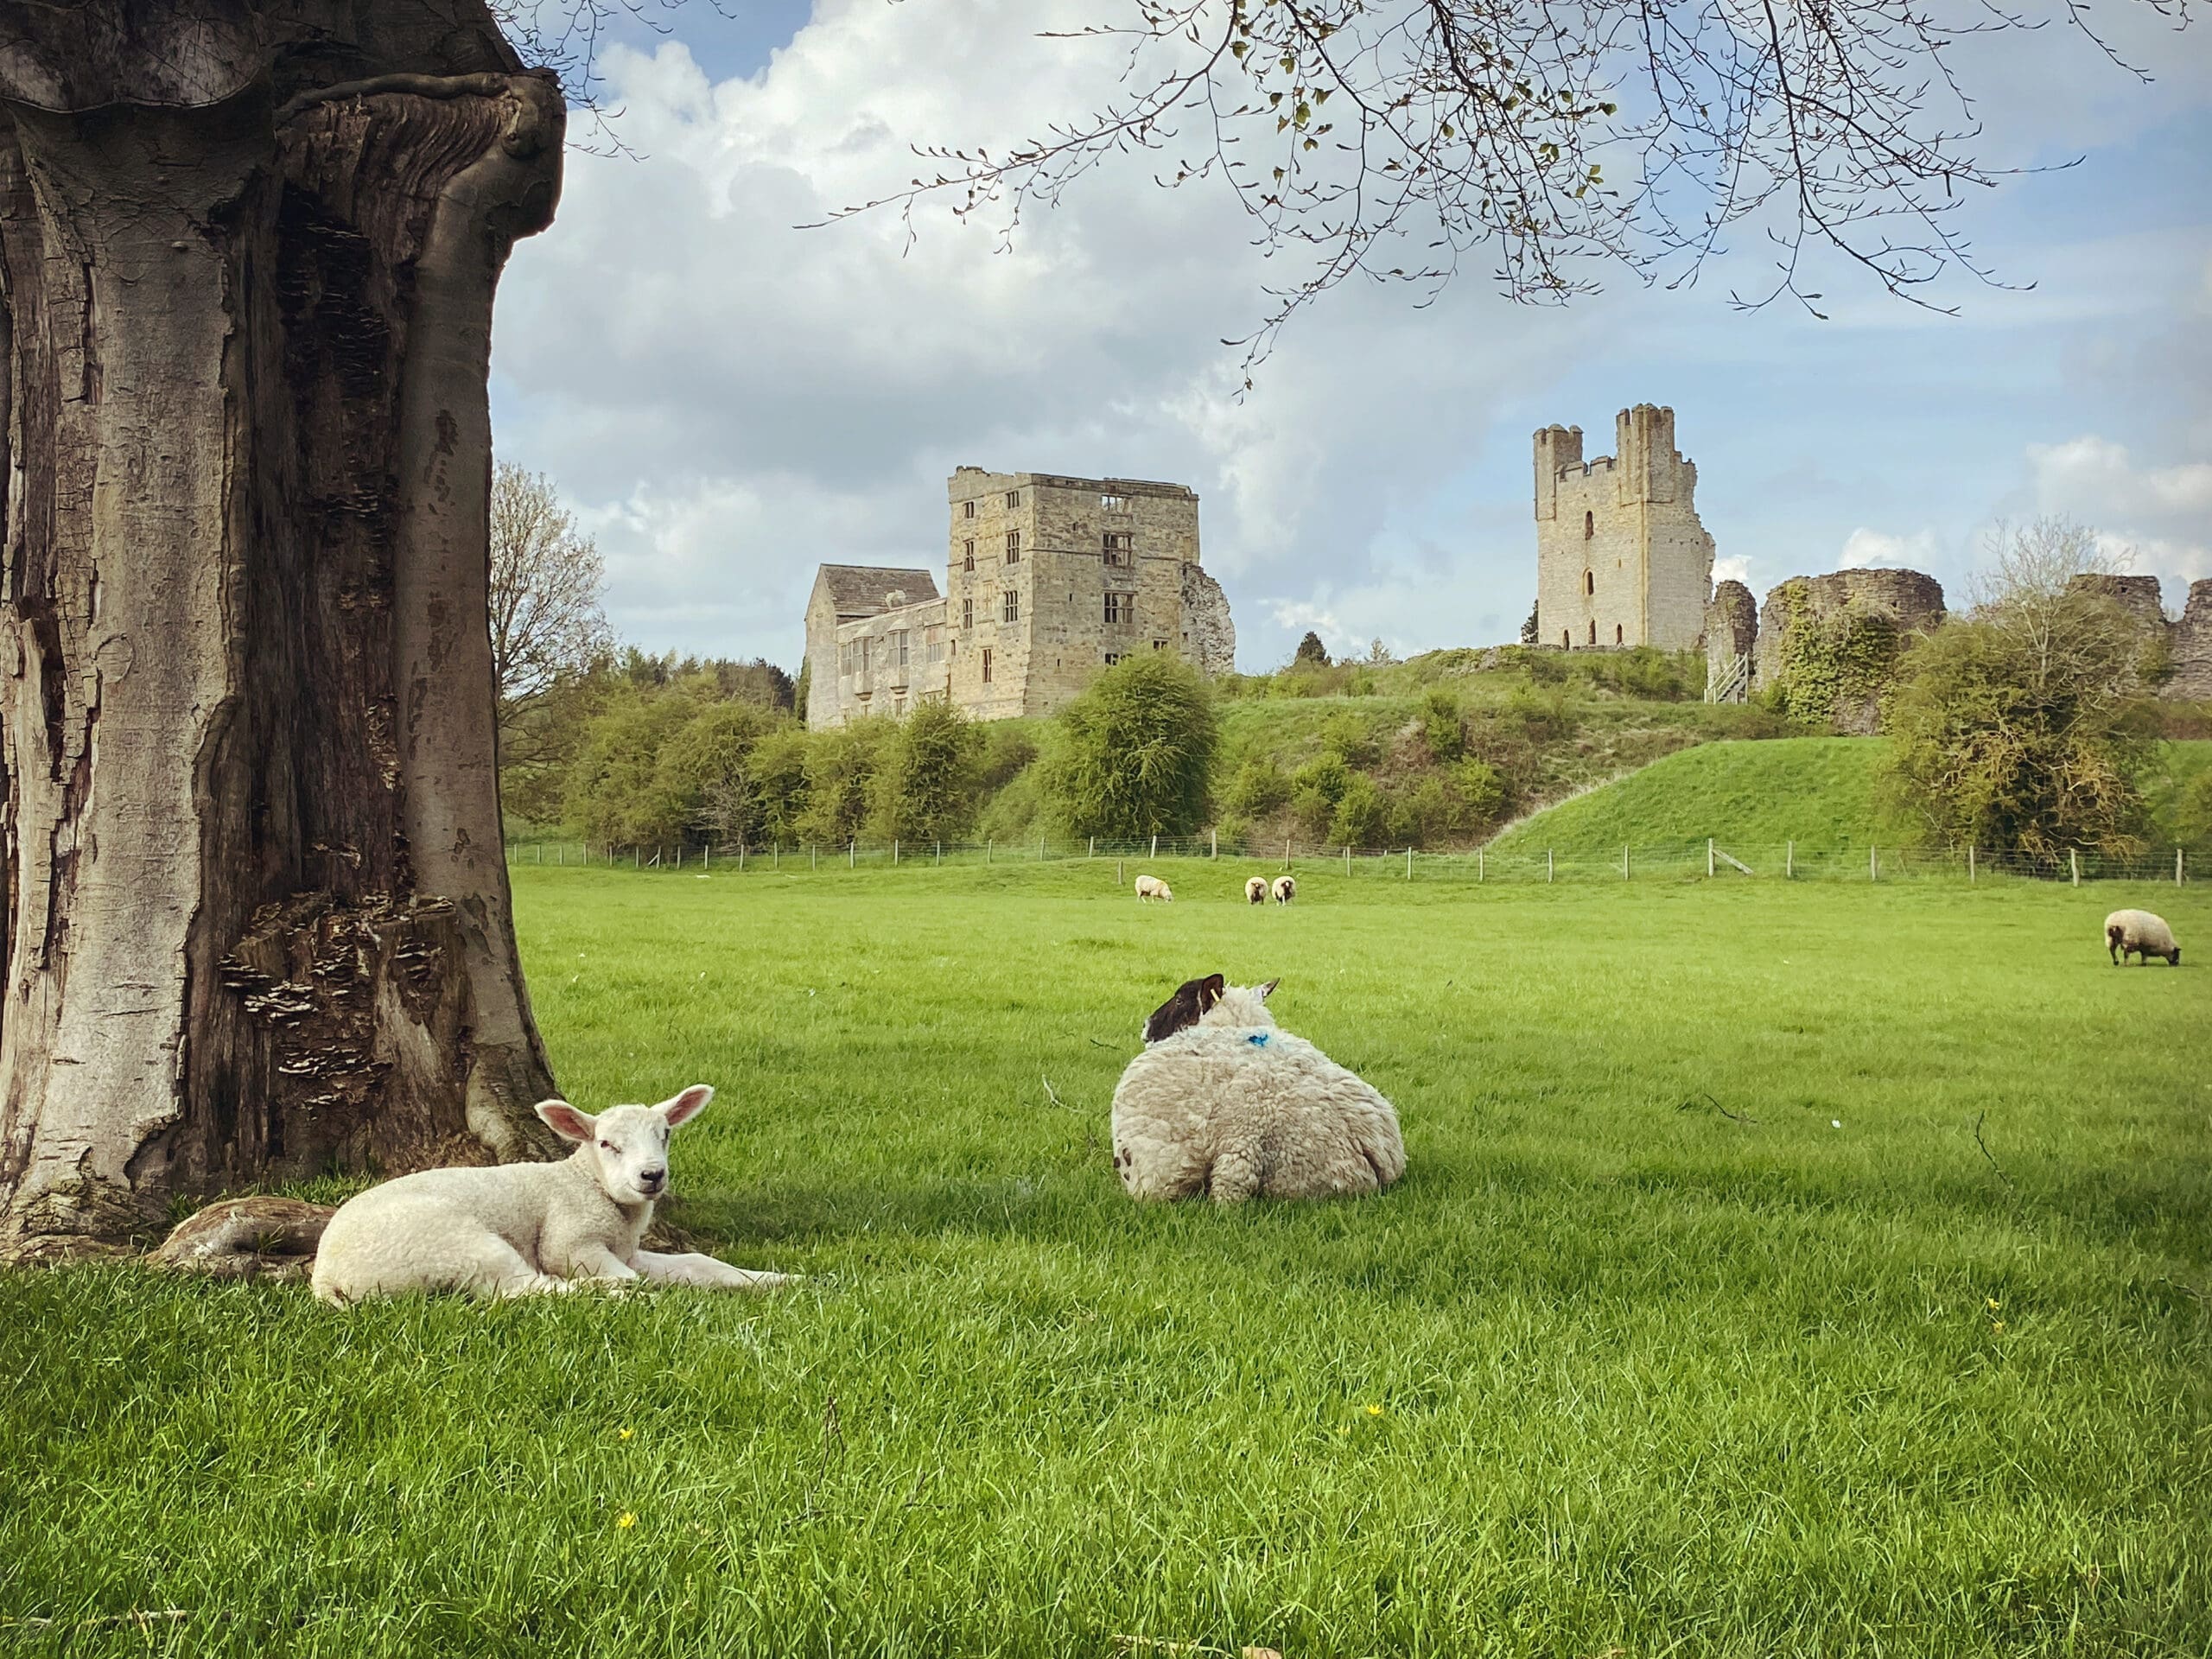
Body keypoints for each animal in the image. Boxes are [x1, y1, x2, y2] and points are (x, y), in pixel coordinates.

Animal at [310, 1084, 793, 1303]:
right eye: (606, 1144)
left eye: (666, 1134)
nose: (652, 1176)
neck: (587, 1184)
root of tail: (325, 1276)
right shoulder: (571, 1243)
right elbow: (623, 1273)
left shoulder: (626, 1249)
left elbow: (700, 1263)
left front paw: (780, 1280)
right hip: (454, 1244)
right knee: (524, 1290)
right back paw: (606, 1292)